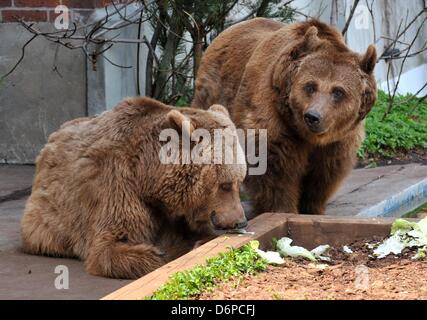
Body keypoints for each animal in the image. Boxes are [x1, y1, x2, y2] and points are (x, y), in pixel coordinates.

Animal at [20, 96, 247, 278]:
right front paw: (162, 253)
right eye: (225, 185)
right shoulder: (117, 184)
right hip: (49, 216)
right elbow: (111, 246)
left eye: (240, 181)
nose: (241, 221)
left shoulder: (175, 211)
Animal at [194, 18, 378, 218]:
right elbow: (274, 166)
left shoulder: (338, 140)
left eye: (338, 91)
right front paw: (282, 209)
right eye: (310, 86)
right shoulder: (273, 115)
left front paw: (312, 208)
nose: (313, 116)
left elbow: (324, 173)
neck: (306, 134)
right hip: (215, 93)